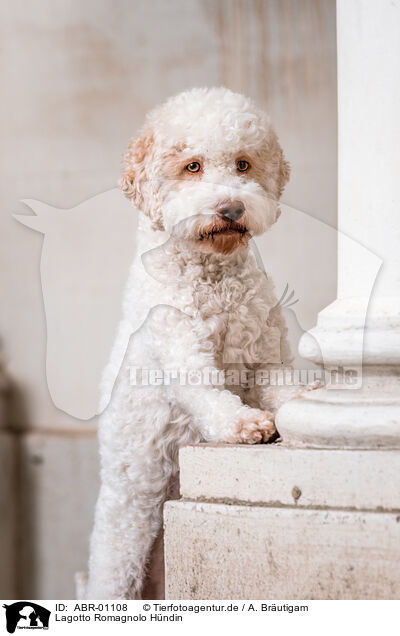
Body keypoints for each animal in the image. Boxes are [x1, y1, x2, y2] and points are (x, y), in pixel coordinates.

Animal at [83, 87, 310, 600]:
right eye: (192, 166)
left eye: (243, 164)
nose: (231, 208)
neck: (212, 273)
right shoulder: (181, 349)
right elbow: (208, 392)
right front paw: (244, 424)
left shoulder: (266, 353)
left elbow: (282, 385)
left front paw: (302, 404)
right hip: (127, 522)